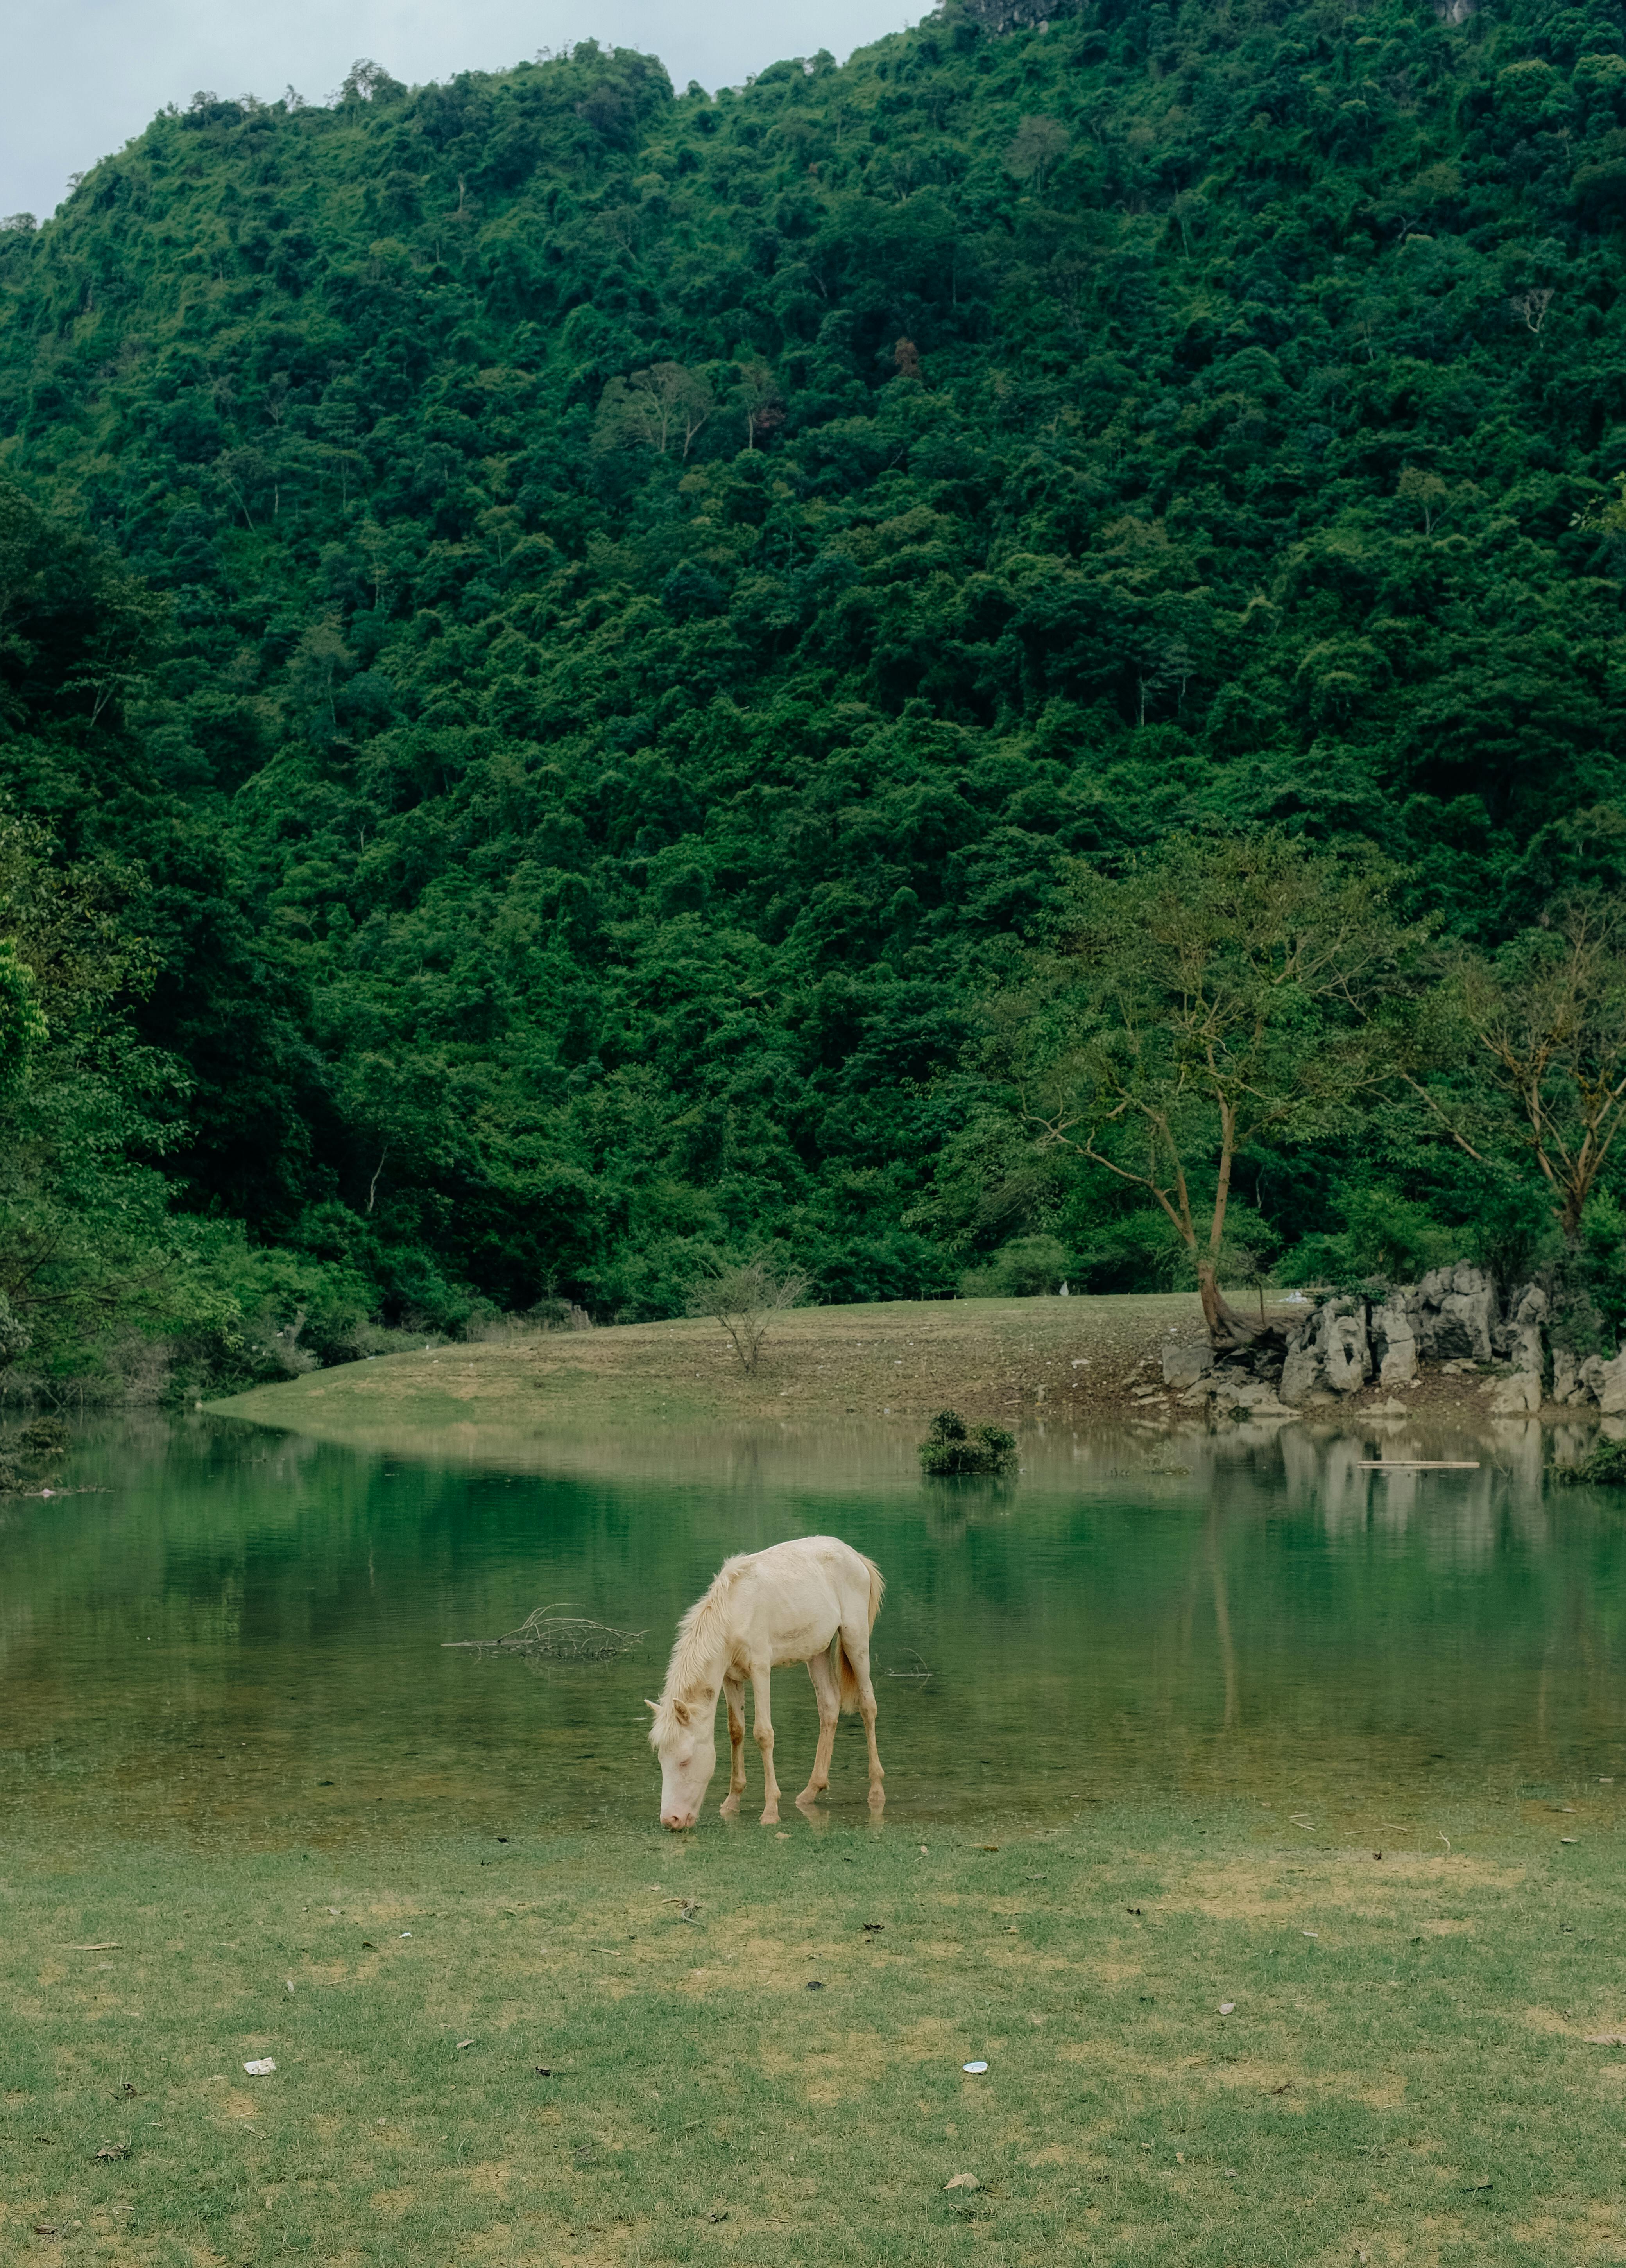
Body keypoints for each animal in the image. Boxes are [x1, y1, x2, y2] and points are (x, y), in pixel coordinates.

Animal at [647, 1535, 885, 1829]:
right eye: (661, 1759)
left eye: (685, 1761)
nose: (672, 1820)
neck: (734, 1611)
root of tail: (854, 1556)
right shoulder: (731, 1677)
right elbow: (736, 1732)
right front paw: (732, 1802)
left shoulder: (760, 1669)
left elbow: (763, 1734)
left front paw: (771, 1811)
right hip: (817, 1651)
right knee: (829, 1705)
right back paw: (811, 1791)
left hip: (855, 1638)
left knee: (868, 1706)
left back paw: (877, 1791)